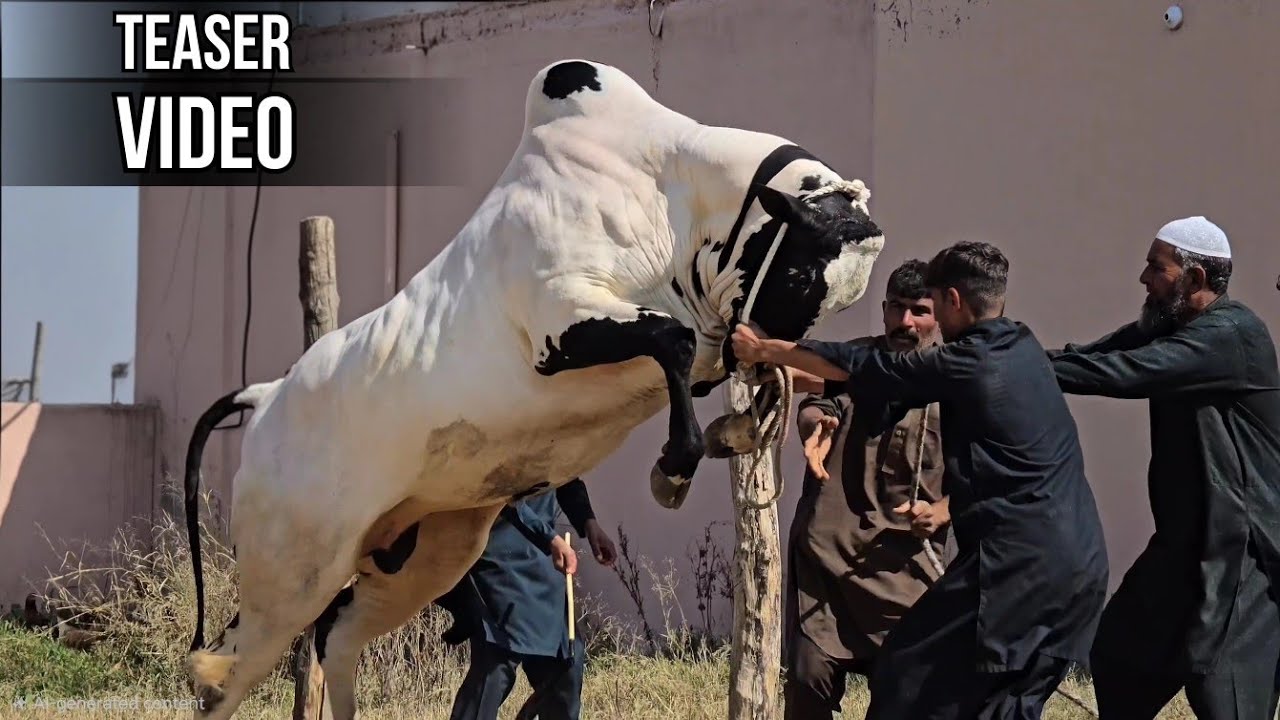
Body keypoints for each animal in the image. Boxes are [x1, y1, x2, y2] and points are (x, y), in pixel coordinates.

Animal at [181, 59, 885, 719]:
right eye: (798, 274)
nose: (761, 349)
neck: (663, 188)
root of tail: (266, 397)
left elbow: (708, 364)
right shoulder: (560, 321)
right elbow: (674, 340)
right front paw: (674, 466)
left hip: (423, 556)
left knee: (338, 639)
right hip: (291, 576)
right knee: (219, 673)